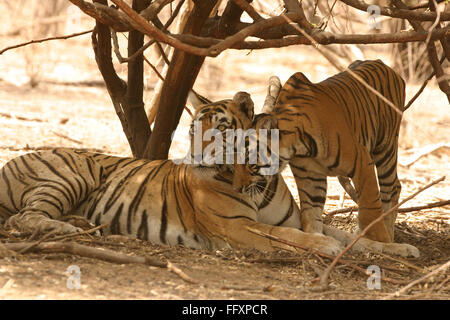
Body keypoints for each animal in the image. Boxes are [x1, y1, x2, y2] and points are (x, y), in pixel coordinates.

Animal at [232, 58, 422, 256]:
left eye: (249, 163)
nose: (237, 189)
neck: (298, 147)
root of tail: (381, 63)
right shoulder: (310, 176)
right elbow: (311, 213)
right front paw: (317, 241)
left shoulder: (362, 161)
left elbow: (370, 207)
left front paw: (383, 241)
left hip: (386, 146)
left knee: (392, 188)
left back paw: (388, 232)